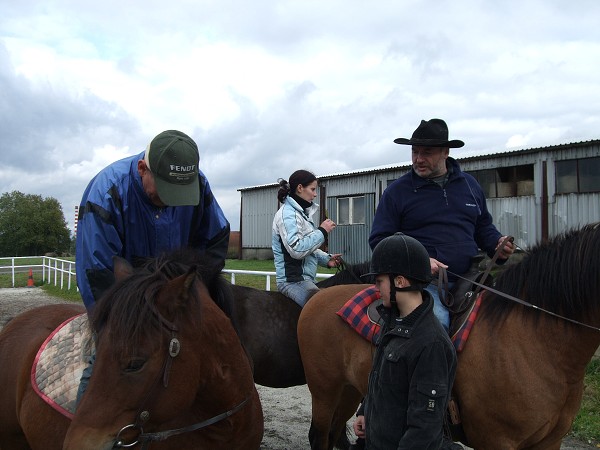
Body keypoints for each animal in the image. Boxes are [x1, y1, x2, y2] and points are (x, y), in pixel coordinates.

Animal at [298, 223, 600, 450]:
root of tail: (318, 296)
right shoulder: (497, 441)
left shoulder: (549, 442)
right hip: (325, 389)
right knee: (320, 436)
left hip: (349, 390)